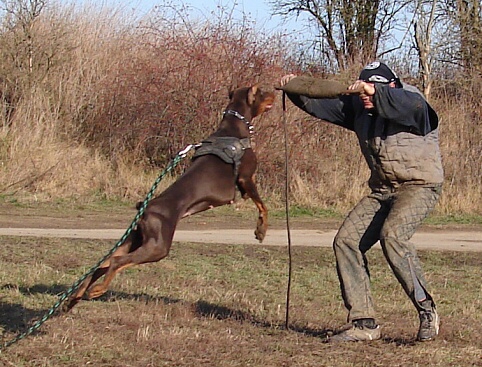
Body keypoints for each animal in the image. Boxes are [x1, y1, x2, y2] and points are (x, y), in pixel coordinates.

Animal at [64, 85, 274, 312]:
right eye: (262, 92)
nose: (275, 92)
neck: (233, 128)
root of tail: (144, 209)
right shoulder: (246, 178)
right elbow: (263, 206)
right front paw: (261, 230)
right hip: (158, 246)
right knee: (116, 262)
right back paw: (96, 290)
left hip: (134, 239)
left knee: (102, 264)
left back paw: (73, 298)